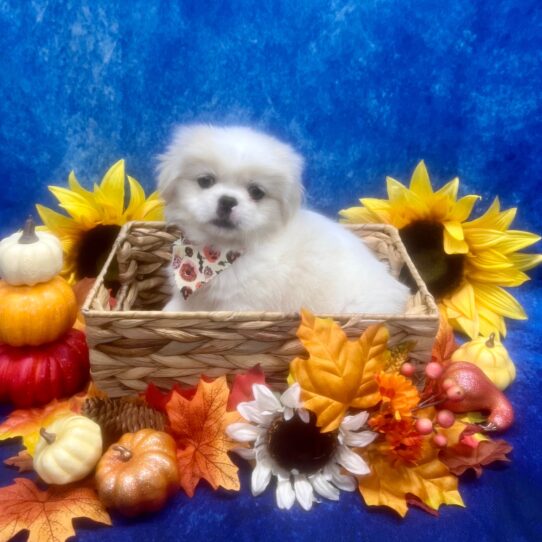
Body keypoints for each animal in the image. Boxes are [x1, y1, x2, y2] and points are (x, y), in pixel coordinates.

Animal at [155, 126, 410, 314]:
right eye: (205, 181)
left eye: (256, 192)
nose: (227, 201)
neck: (217, 252)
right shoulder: (189, 296)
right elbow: (175, 307)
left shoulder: (242, 305)